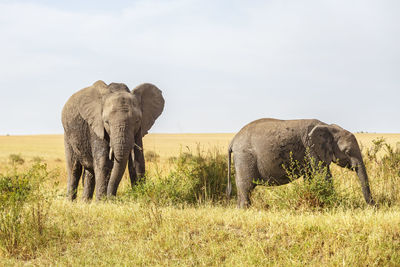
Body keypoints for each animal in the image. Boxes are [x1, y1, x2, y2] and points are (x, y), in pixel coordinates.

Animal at [227, 119, 376, 209]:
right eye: (347, 151)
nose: (373, 206)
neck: (329, 126)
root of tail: (233, 140)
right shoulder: (311, 147)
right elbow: (324, 175)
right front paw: (335, 204)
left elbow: (310, 177)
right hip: (245, 156)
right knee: (246, 185)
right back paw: (246, 209)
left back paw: (240, 209)